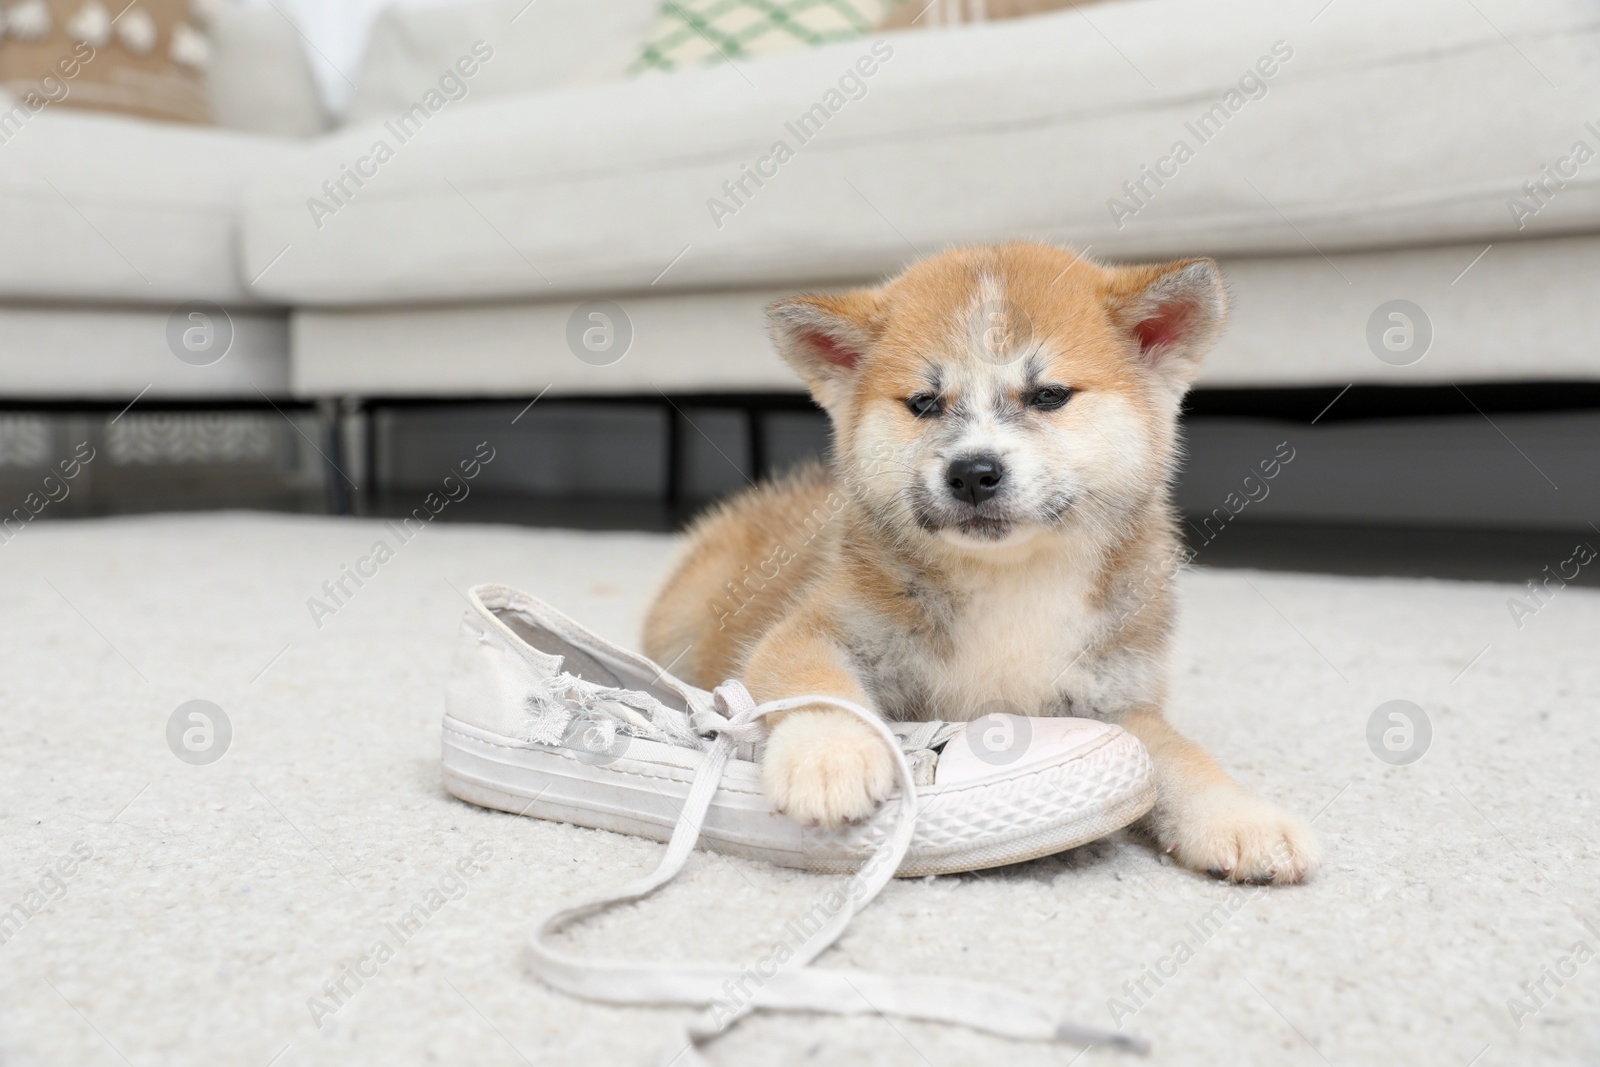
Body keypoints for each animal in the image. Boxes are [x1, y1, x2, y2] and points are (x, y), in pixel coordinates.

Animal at [643, 241, 1318, 883]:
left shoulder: (1116, 701)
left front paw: (1239, 818)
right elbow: (814, 681)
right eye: (923, 403)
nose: (971, 472)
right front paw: (830, 755)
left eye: (1049, 395)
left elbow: (1179, 754)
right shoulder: (818, 628)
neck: (1011, 580)